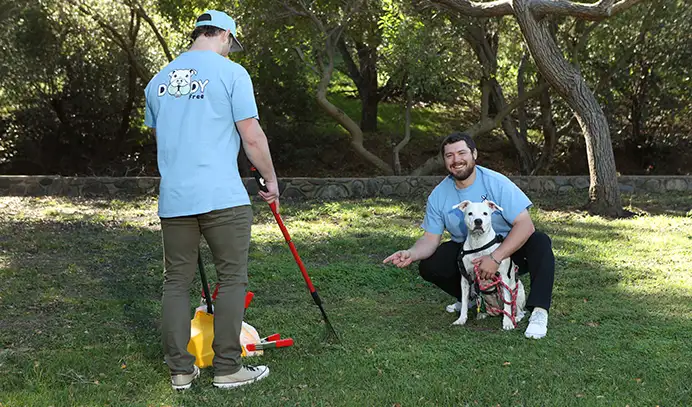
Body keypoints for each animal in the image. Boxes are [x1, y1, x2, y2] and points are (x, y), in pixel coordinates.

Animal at [451, 200, 526, 330]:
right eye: (470, 213)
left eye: (485, 213)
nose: (478, 221)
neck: (478, 244)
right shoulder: (465, 279)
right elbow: (464, 302)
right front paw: (461, 319)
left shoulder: (503, 278)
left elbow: (507, 304)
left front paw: (507, 323)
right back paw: (483, 314)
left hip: (518, 293)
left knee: (519, 310)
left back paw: (515, 318)